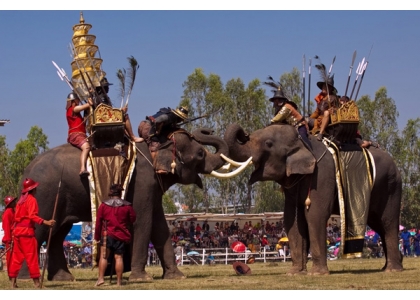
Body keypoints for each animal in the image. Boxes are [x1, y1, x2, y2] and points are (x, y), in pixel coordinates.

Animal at [21, 127, 236, 282]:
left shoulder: (152, 187)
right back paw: (27, 280)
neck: (156, 145)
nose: (205, 130)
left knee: (56, 234)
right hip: (44, 195)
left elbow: (160, 227)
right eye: (200, 154)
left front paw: (176, 277)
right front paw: (142, 278)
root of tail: (27, 170)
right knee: (39, 231)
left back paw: (64, 279)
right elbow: (143, 221)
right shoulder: (142, 182)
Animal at [223, 123, 404, 276]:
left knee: (388, 222)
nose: (244, 133)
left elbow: (315, 215)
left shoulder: (322, 175)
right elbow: (292, 220)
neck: (302, 142)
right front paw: (294, 273)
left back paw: (392, 270)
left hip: (391, 186)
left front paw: (317, 274)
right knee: (379, 225)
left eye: (268, 143)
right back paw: (389, 266)